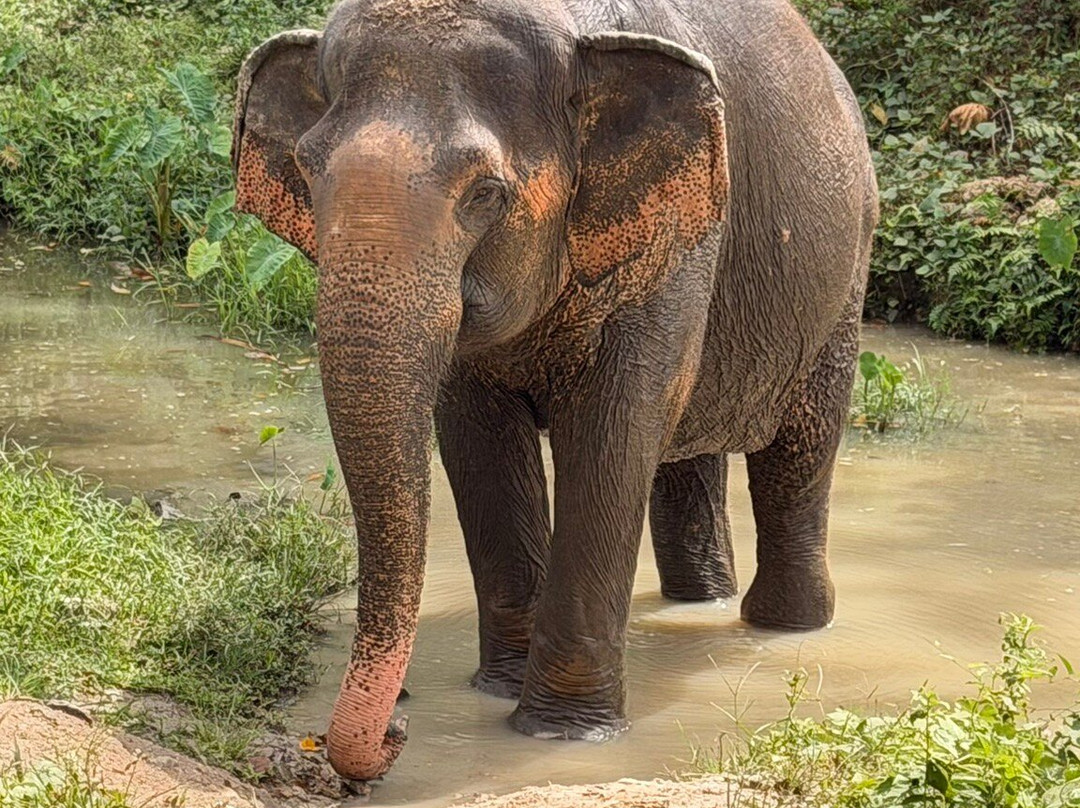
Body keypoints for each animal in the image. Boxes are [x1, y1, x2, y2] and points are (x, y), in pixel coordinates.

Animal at [232, 0, 877, 783]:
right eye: (306, 169)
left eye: (485, 194)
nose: (399, 732)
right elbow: (477, 441)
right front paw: (496, 690)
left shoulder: (677, 245)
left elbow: (613, 434)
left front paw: (560, 733)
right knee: (687, 456)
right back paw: (700, 602)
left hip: (842, 284)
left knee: (798, 454)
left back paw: (784, 627)